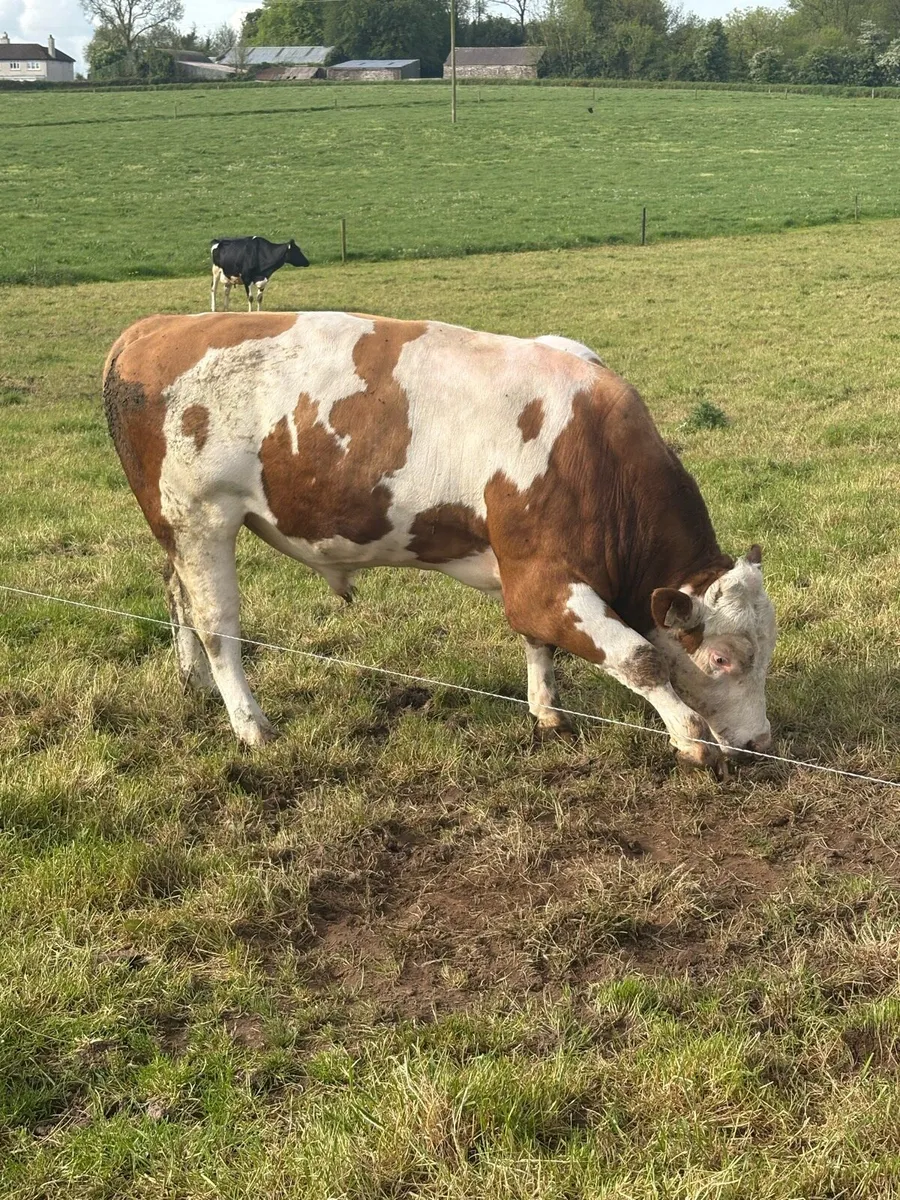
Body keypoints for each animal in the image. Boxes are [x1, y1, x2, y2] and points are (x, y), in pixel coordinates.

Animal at [103, 312, 777, 770]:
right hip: (201, 517)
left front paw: (547, 711)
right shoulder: (545, 579)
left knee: (177, 596)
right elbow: (639, 656)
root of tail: (152, 328)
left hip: (176, 530)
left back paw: (192, 681)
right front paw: (689, 736)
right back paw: (252, 726)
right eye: (721, 659)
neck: (594, 453)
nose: (762, 742)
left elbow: (537, 642)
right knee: (217, 623)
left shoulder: (527, 572)